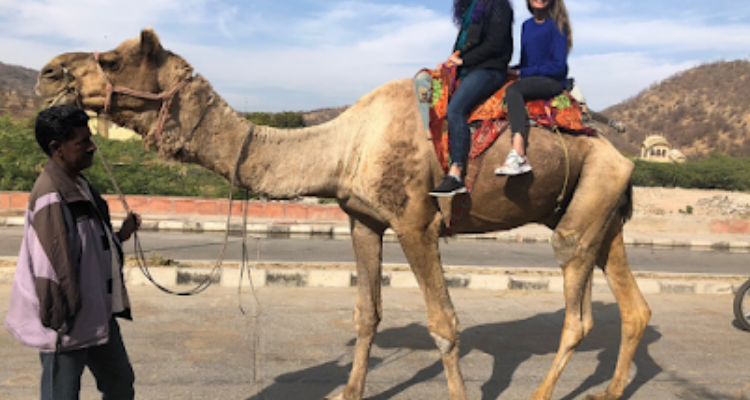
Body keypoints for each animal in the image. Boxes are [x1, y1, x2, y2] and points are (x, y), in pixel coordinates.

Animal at [38, 28, 652, 400]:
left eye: (111, 59)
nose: (48, 71)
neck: (345, 144)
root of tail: (620, 153)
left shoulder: (415, 222)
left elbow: (444, 325)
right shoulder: (364, 220)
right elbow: (365, 314)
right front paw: (349, 389)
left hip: (581, 214)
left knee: (578, 313)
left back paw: (546, 391)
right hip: (601, 210)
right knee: (634, 304)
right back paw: (610, 388)